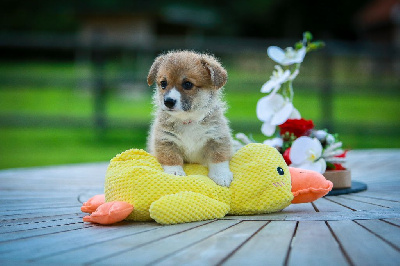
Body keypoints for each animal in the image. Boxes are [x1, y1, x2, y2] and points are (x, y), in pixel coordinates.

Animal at [147, 50, 234, 187]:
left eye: (187, 84)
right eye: (163, 83)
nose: (168, 102)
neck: (188, 120)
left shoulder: (217, 137)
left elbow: (219, 158)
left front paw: (221, 175)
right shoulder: (165, 139)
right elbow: (171, 158)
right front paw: (175, 172)